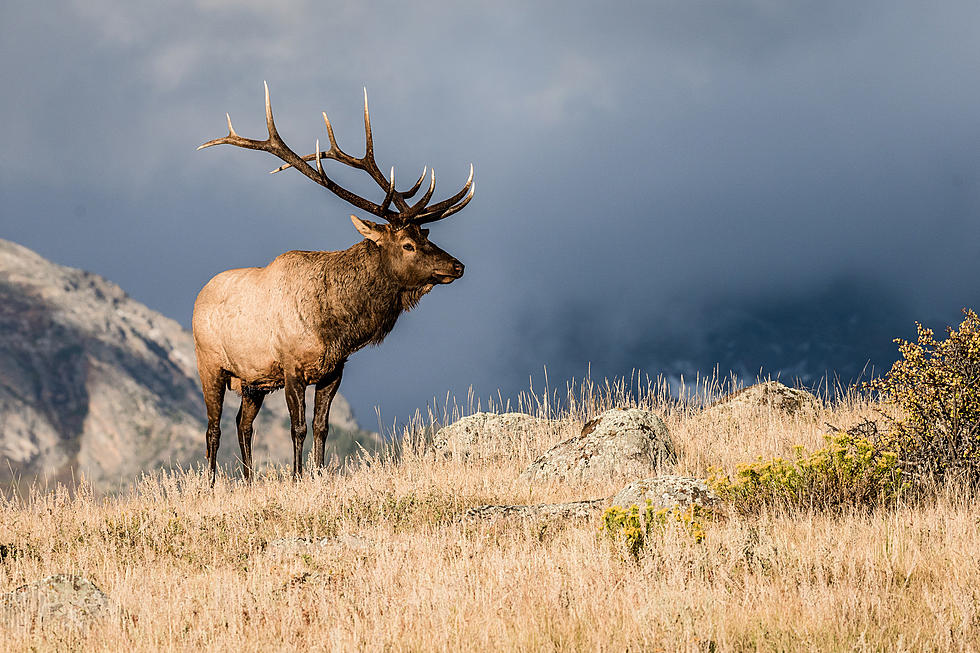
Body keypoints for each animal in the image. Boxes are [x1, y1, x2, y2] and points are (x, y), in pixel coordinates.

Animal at [192, 81, 474, 482]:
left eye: (426, 235)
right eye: (407, 243)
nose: (457, 266)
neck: (335, 324)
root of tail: (199, 295)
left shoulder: (334, 370)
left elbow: (322, 426)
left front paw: (319, 472)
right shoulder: (290, 366)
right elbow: (298, 427)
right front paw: (297, 476)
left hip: (253, 380)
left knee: (242, 424)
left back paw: (247, 480)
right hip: (210, 364)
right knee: (213, 428)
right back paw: (214, 483)